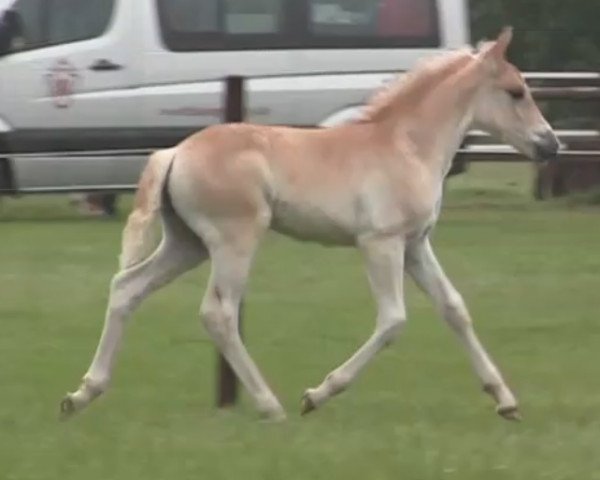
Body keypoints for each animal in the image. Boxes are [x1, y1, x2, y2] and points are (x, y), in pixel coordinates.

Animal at [59, 28, 556, 422]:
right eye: (516, 91)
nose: (550, 144)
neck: (406, 146)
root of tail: (175, 152)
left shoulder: (416, 245)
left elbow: (454, 309)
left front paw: (505, 400)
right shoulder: (381, 243)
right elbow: (393, 319)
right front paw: (318, 394)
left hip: (187, 244)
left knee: (127, 288)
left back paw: (82, 394)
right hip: (235, 240)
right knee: (218, 313)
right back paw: (270, 405)